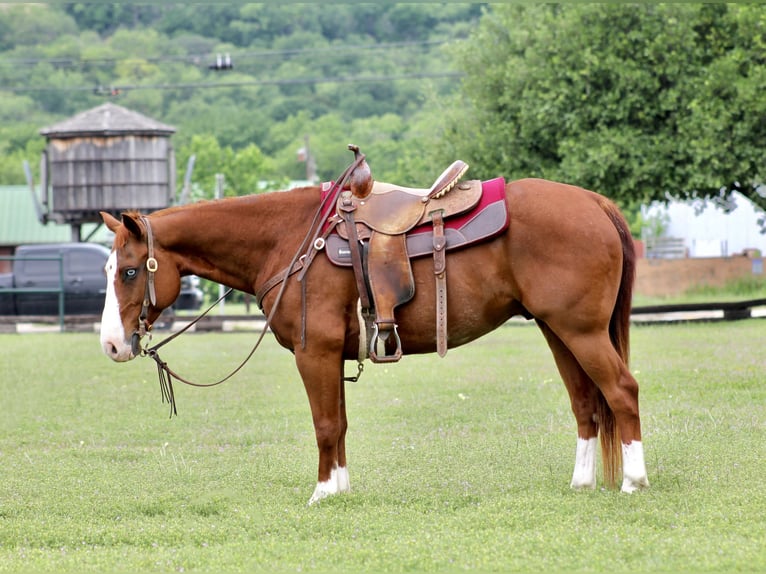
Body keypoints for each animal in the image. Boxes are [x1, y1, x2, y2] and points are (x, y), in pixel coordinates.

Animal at [98, 173, 649, 504]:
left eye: (129, 271)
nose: (111, 345)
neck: (290, 239)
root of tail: (596, 203)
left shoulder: (314, 353)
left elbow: (324, 425)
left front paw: (322, 493)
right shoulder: (330, 357)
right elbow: (339, 425)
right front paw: (341, 489)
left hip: (580, 332)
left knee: (622, 392)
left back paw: (633, 480)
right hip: (559, 331)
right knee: (586, 403)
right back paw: (582, 482)